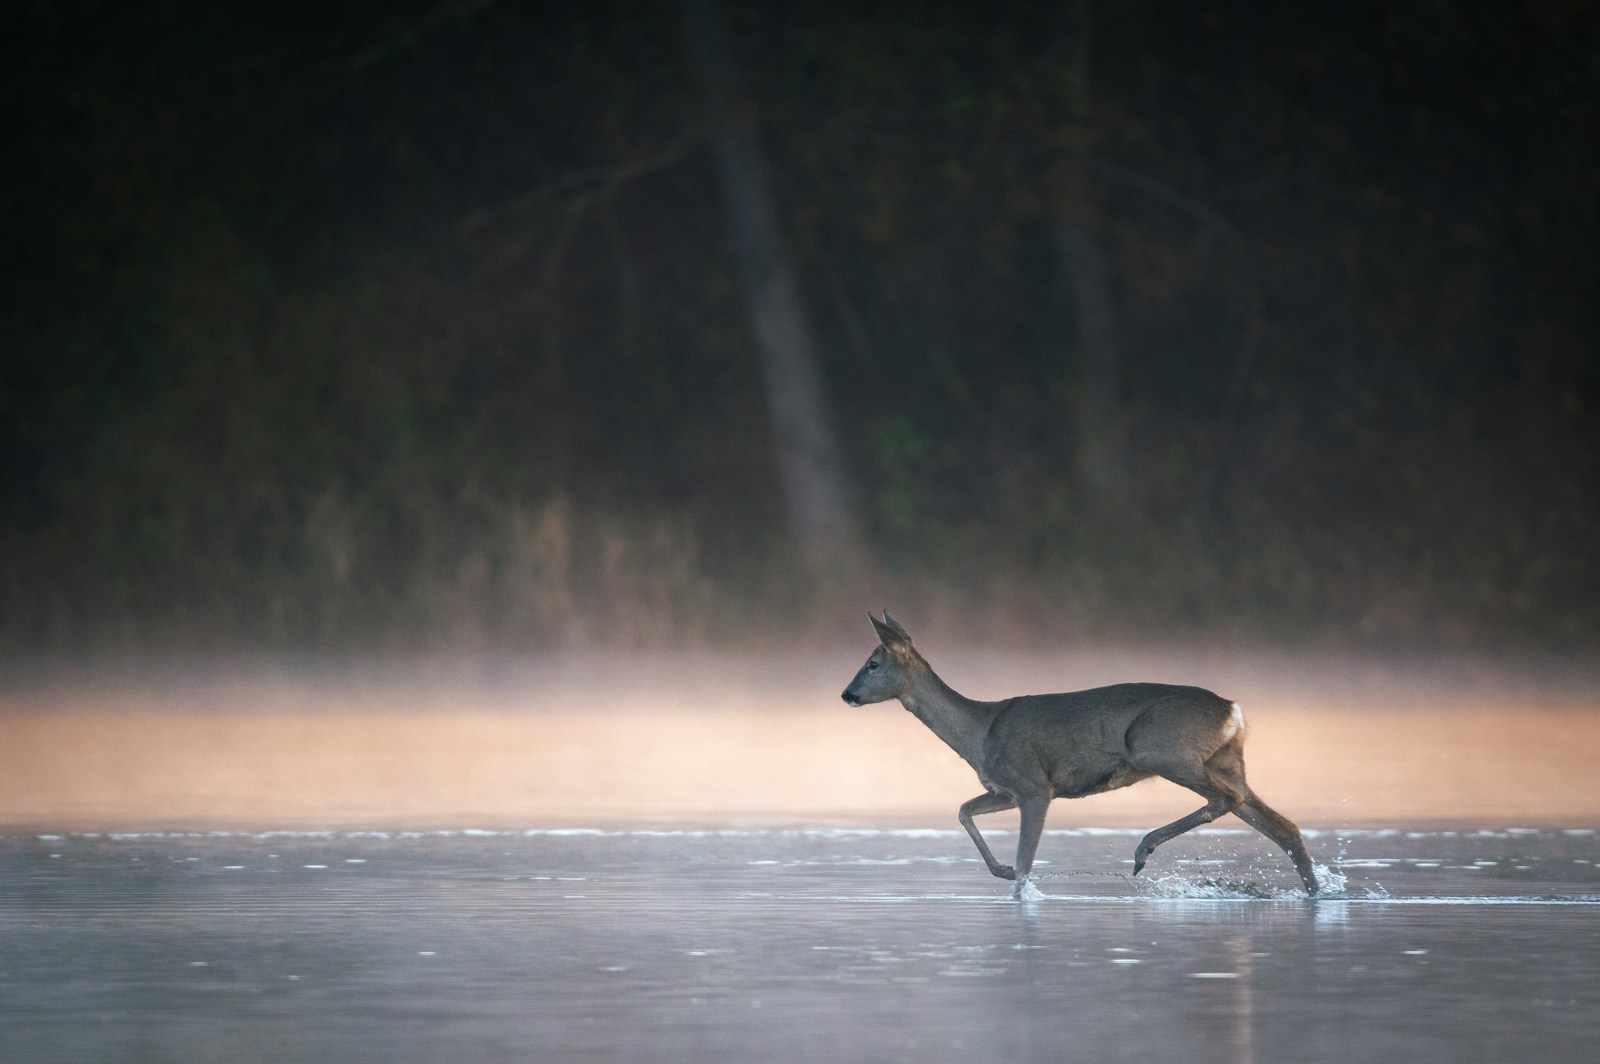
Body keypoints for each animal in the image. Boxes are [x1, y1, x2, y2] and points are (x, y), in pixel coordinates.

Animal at [844, 611, 1318, 889]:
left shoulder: (1034, 786)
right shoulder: (1005, 790)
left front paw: (1014, 879)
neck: (978, 732)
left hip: (1161, 749)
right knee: (1284, 827)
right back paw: (1313, 891)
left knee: (1228, 800)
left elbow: (1025, 865)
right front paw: (998, 870)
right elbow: (963, 810)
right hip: (1226, 760)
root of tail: (1233, 710)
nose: (847, 694)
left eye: (873, 663)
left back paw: (1143, 850)